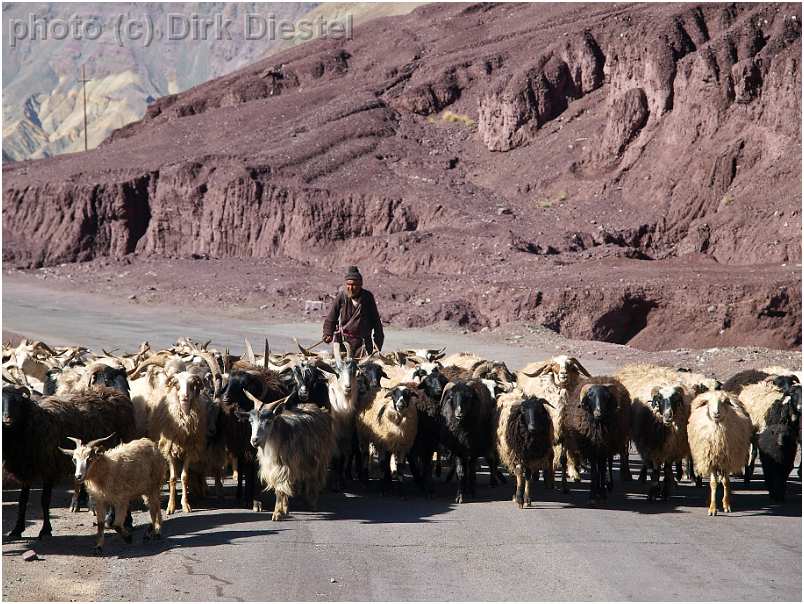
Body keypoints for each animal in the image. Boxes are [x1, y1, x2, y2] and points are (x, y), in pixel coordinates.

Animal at [1, 384, 137, 540]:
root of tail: (114, 392)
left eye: (17, 401)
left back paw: (127, 522)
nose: (7, 418)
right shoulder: (26, 469)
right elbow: (22, 500)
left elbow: (45, 500)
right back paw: (112, 519)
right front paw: (17, 530)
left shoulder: (49, 466)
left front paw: (45, 530)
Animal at [148, 368, 209, 516]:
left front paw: (185, 504)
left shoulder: (190, 450)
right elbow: (172, 479)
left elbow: (184, 477)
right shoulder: (169, 449)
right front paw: (171, 506)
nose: (184, 397)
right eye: (177, 385)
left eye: (192, 384)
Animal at [242, 390, 336, 520]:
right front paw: (283, 510)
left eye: (269, 421)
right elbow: (281, 487)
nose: (254, 440)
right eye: (251, 421)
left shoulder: (284, 467)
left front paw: (277, 513)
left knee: (314, 478)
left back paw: (312, 503)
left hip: (318, 459)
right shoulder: (279, 467)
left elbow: (280, 489)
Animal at [516, 356, 592, 484]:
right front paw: (548, 476)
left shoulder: (566, 433)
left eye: (569, 365)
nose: (563, 374)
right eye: (555, 366)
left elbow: (565, 457)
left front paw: (568, 478)